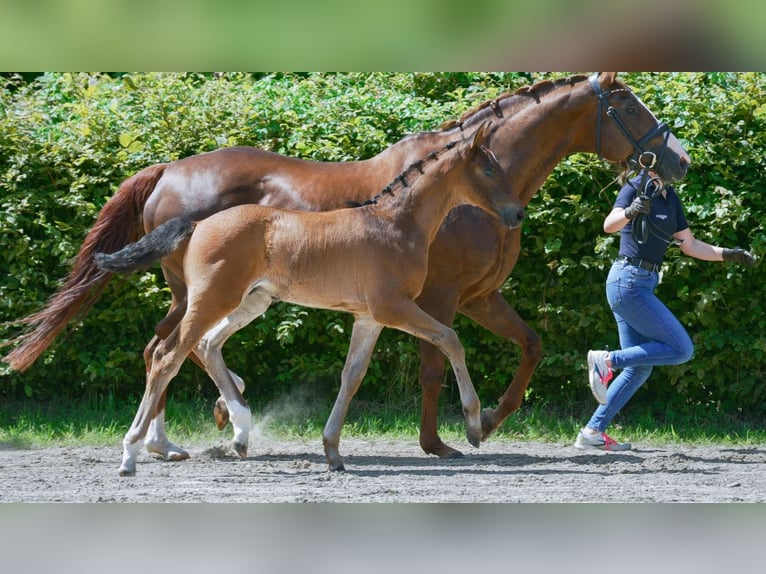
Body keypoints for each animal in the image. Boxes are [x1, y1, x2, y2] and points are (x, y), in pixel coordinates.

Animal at [4, 72, 688, 462]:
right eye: (629, 105)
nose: (677, 162)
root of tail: (168, 169)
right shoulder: (440, 298)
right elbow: (437, 363)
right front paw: (452, 436)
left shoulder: (475, 297)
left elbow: (530, 344)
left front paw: (487, 420)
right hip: (198, 292)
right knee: (168, 350)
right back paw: (178, 436)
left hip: (227, 296)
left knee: (177, 349)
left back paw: (195, 434)